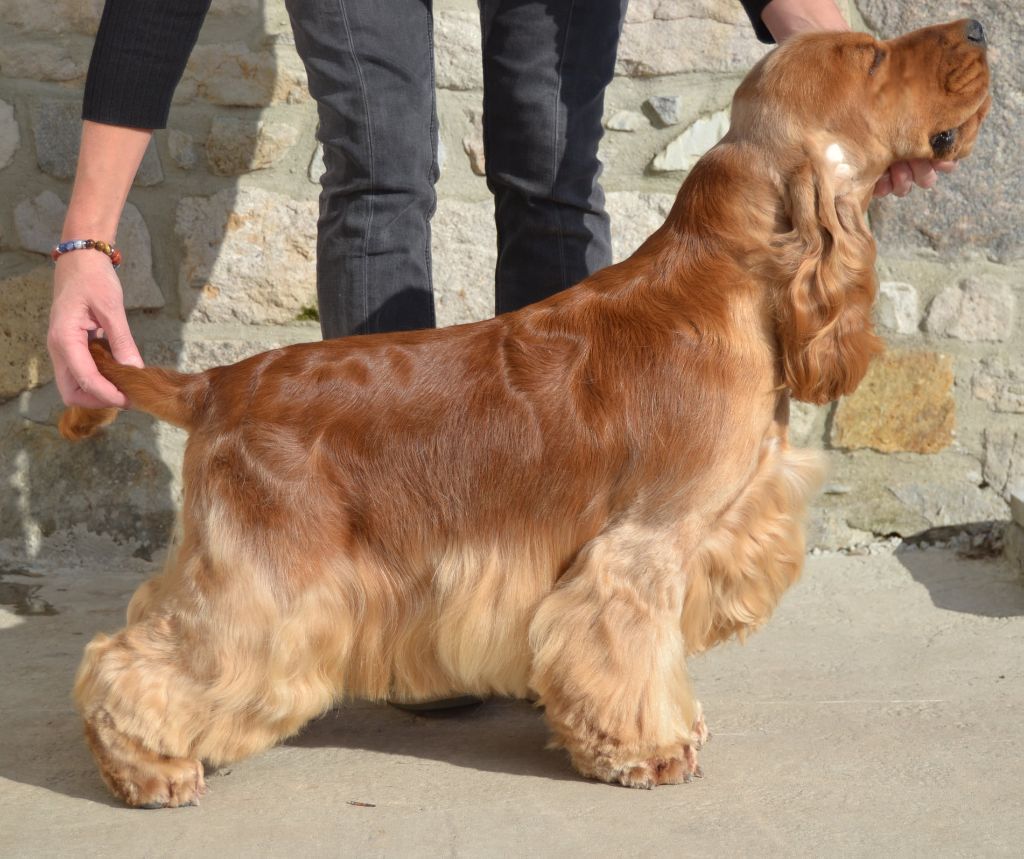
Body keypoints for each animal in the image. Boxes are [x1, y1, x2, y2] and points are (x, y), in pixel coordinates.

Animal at [60, 20, 989, 807]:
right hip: (270, 578)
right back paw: (147, 769)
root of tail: (214, 385)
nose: (979, 27)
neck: (735, 282)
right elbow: (629, 648)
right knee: (130, 658)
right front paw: (649, 749)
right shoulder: (646, 542)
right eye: (872, 57)